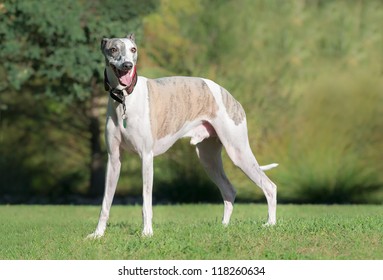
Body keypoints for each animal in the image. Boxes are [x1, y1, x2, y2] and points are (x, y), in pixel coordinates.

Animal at [87, 33, 280, 238]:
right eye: (113, 49)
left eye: (133, 50)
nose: (127, 65)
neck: (124, 99)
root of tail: (228, 94)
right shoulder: (114, 159)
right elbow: (105, 202)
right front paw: (98, 234)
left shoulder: (146, 157)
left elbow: (146, 201)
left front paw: (147, 232)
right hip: (208, 159)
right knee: (229, 190)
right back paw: (224, 226)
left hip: (238, 151)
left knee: (269, 186)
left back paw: (270, 223)